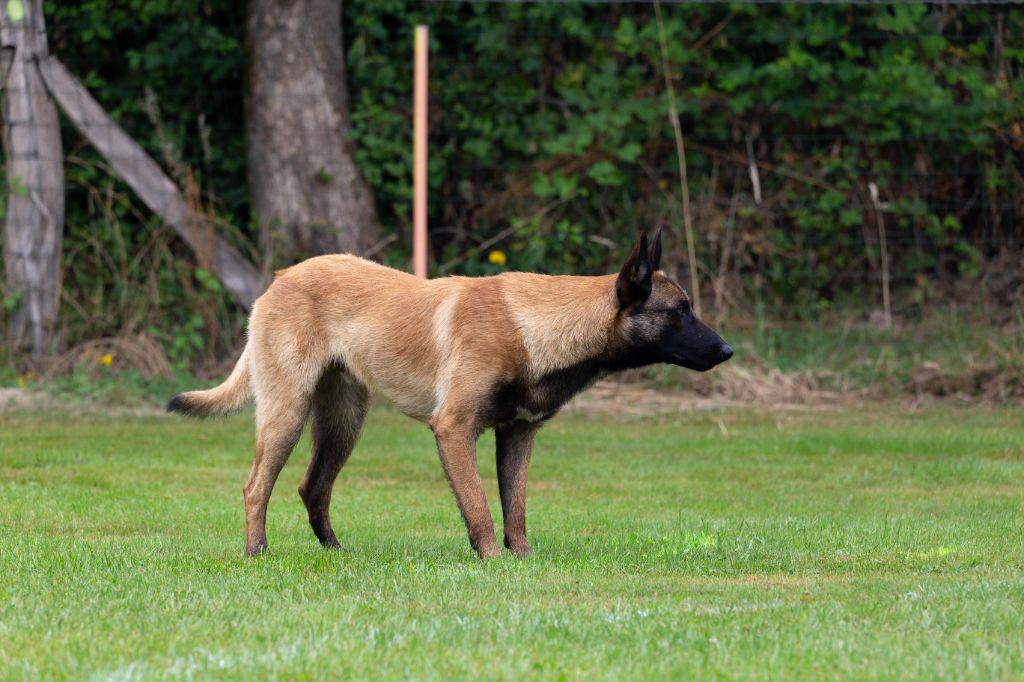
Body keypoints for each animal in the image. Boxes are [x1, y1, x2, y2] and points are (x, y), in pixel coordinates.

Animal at [167, 231, 733, 557]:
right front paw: (493, 562)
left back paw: (334, 551)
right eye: (681, 310)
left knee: (313, 487)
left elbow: (514, 509)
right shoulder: (455, 431)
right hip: (287, 413)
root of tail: (281, 277)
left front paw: (522, 561)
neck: (533, 325)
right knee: (255, 487)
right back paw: (257, 552)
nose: (727, 350)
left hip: (343, 424)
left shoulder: (517, 435)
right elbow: (480, 507)